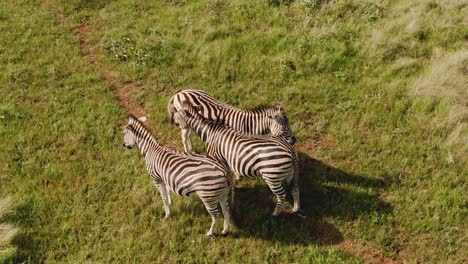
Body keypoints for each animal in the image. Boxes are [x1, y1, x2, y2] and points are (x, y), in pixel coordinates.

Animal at [166, 89, 294, 153]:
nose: (294, 140)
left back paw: (192, 149)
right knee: (184, 136)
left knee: (188, 135)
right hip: (184, 122)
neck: (249, 125)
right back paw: (188, 151)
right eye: (284, 127)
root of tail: (179, 93)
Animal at [172, 104, 300, 216]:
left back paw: (275, 213)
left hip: (272, 175)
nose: (174, 122)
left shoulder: (218, 159)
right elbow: (231, 180)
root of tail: (290, 150)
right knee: (295, 189)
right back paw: (295, 209)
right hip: (290, 174)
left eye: (178, 116)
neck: (209, 132)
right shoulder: (227, 161)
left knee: (282, 195)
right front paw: (232, 199)